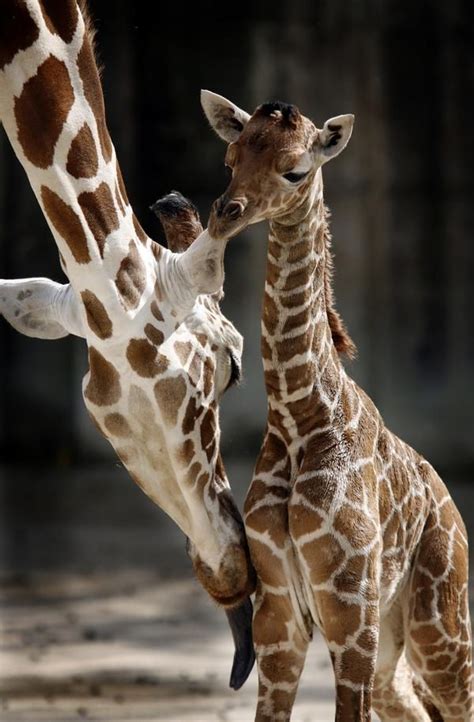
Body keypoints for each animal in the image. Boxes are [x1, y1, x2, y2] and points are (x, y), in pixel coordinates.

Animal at [196, 93, 470, 716]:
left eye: (295, 170)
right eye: (229, 158)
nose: (225, 211)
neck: (300, 416)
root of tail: (454, 513)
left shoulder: (349, 614)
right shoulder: (279, 616)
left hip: (440, 625)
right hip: (394, 641)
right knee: (409, 702)